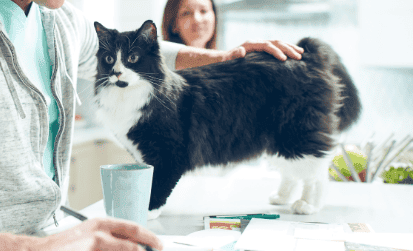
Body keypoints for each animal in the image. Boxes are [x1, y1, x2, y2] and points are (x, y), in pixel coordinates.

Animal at [93, 20, 360, 218]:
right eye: (108, 59)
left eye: (133, 58)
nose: (116, 72)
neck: (127, 96)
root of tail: (304, 54)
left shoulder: (168, 151)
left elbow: (157, 184)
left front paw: (145, 213)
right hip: (277, 138)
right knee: (293, 171)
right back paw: (281, 197)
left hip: (297, 133)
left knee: (317, 171)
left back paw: (308, 205)